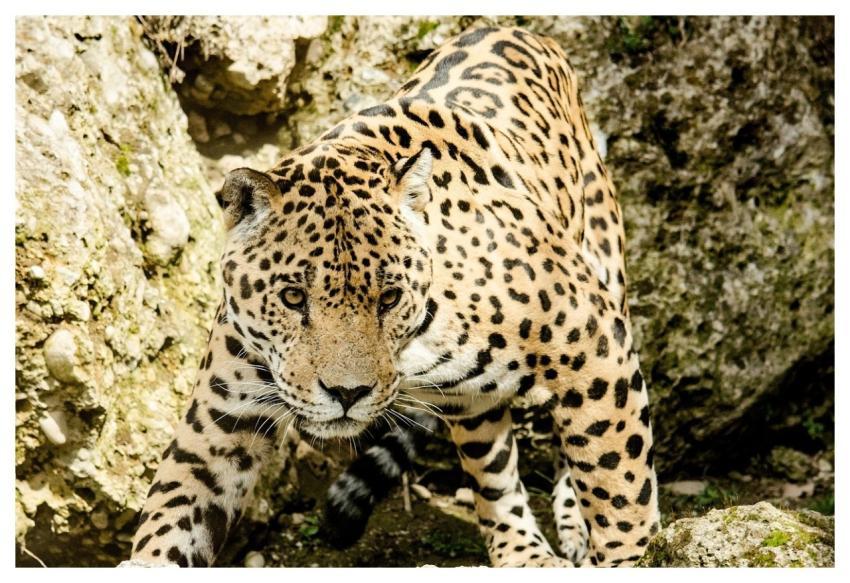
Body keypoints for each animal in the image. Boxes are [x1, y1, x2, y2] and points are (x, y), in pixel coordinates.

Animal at [127, 25, 660, 568]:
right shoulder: (219, 424)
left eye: (388, 297)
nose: (347, 394)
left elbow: (620, 486)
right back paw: (522, 554)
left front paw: (635, 557)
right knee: (493, 472)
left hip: (606, 265)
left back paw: (572, 527)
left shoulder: (596, 346)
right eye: (293, 297)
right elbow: (174, 512)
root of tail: (520, 29)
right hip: (470, 400)